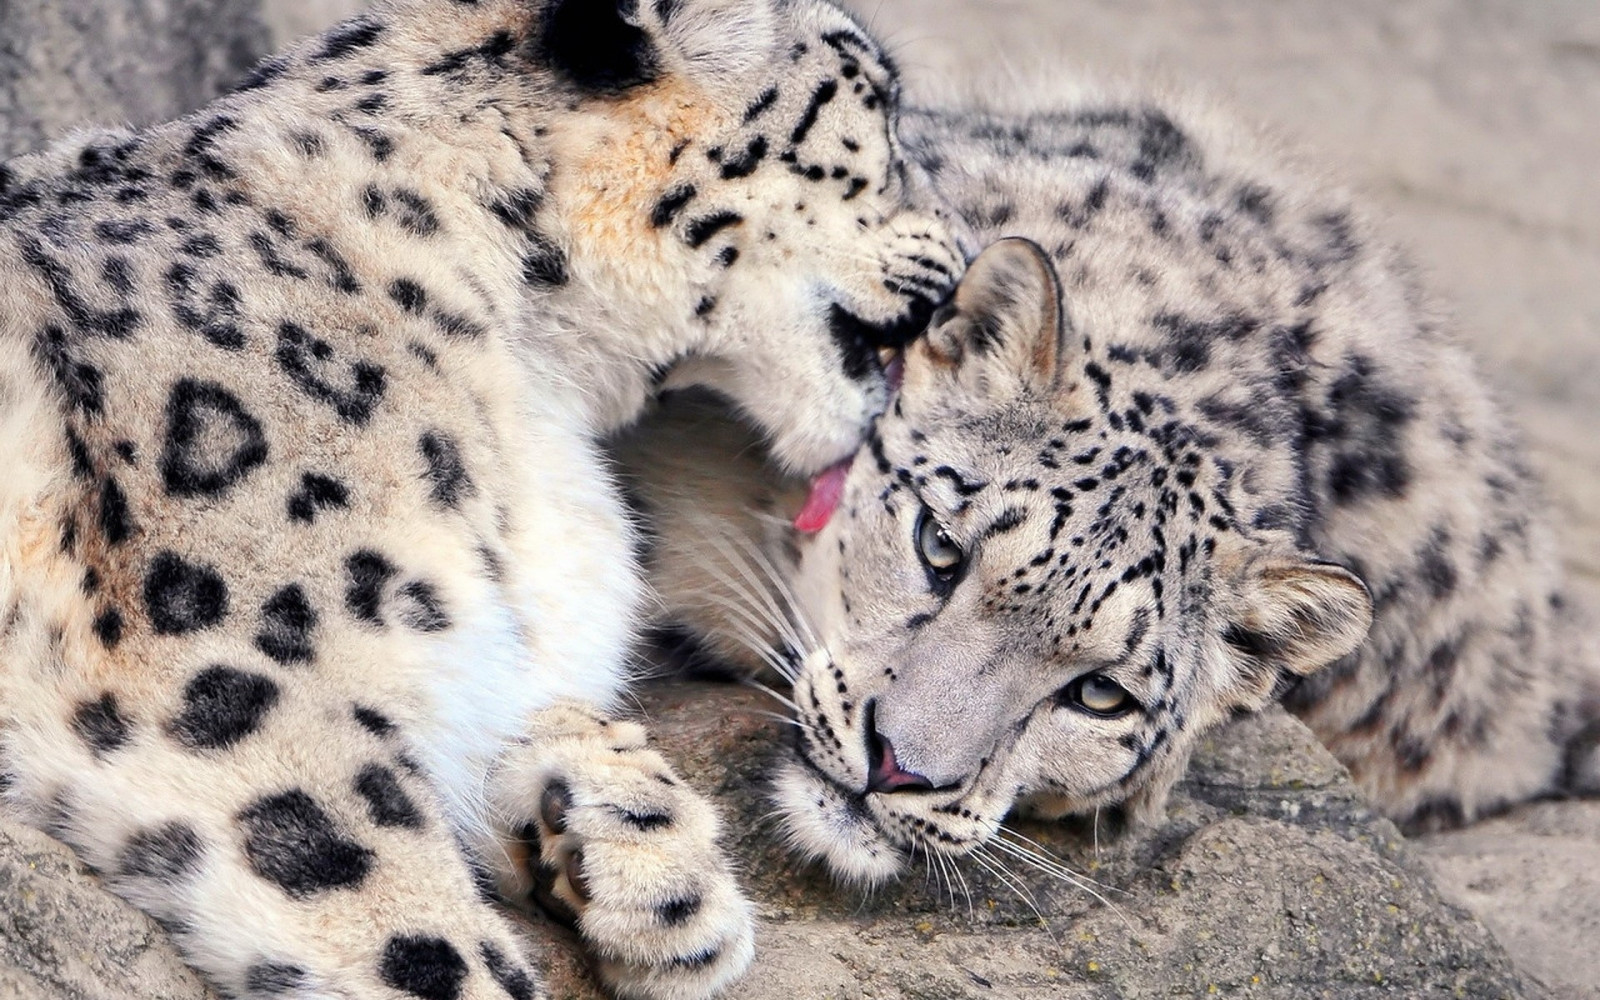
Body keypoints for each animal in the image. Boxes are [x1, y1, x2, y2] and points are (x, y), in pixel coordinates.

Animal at [0, 1, 964, 998]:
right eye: (879, 104)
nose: (968, 254)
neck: (537, 385)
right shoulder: (229, 685)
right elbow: (411, 922)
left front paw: (654, 861)